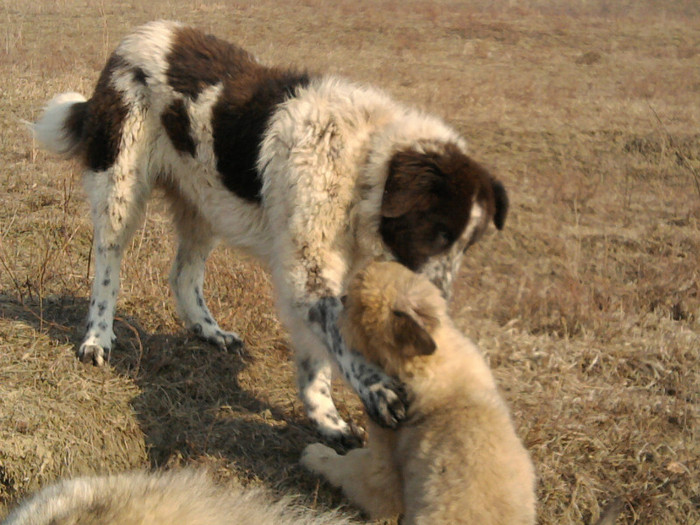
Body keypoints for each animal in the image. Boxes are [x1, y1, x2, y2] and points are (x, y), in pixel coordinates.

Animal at [32, 20, 508, 442]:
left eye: (468, 245)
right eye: (439, 233)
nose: (437, 312)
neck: (363, 159)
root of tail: (135, 38)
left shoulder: (318, 274)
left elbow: (319, 356)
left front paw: (327, 420)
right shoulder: (306, 272)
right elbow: (340, 342)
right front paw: (377, 391)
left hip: (204, 200)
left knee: (183, 275)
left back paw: (207, 330)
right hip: (120, 188)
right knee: (107, 267)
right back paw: (97, 337)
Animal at [300, 262, 536, 524]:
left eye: (351, 301)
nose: (339, 298)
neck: (432, 364)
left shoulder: (380, 473)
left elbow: (343, 466)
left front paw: (314, 454)